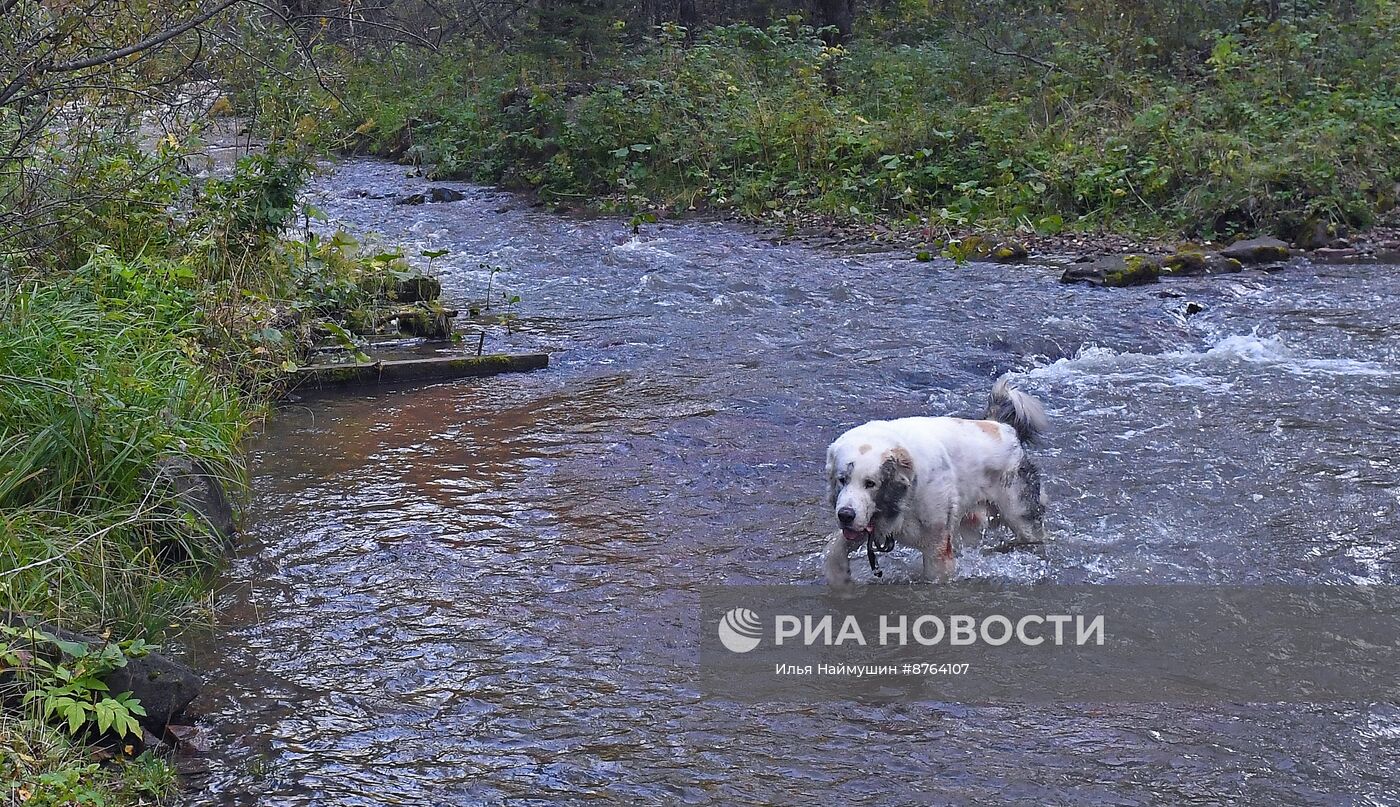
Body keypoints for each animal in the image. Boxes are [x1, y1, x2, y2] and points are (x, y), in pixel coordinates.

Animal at [817, 378, 1052, 585]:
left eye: (870, 483)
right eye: (842, 480)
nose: (845, 515)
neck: (908, 491)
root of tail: (1002, 426)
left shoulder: (937, 545)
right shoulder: (866, 524)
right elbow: (834, 548)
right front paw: (839, 577)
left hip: (1021, 514)